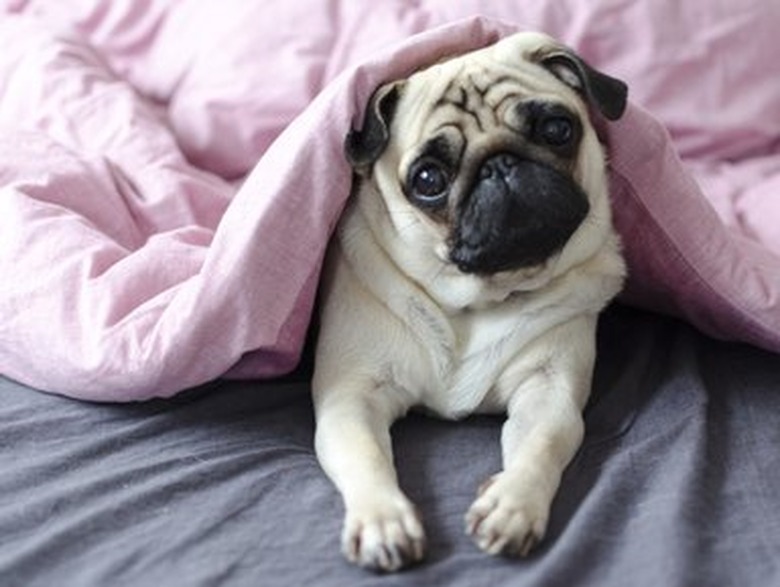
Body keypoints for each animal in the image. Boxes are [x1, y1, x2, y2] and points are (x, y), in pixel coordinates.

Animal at [310, 32, 628, 576]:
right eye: (428, 180)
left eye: (557, 129)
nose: (499, 164)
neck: (475, 300)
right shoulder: (351, 396)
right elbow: (365, 454)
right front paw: (383, 520)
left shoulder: (548, 391)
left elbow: (542, 443)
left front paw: (512, 505)